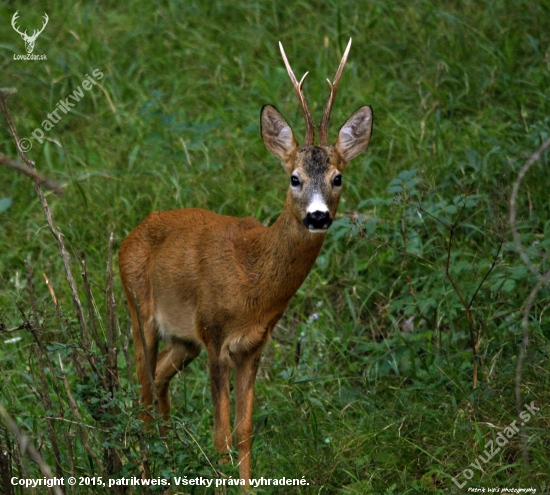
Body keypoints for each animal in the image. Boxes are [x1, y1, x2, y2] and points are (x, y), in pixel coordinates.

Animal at [118, 38, 374, 484]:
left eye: (338, 177)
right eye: (294, 178)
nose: (318, 216)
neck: (252, 280)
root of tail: (128, 237)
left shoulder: (253, 345)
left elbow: (243, 432)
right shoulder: (216, 335)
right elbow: (220, 436)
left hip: (184, 340)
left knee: (160, 384)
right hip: (140, 312)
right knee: (143, 398)